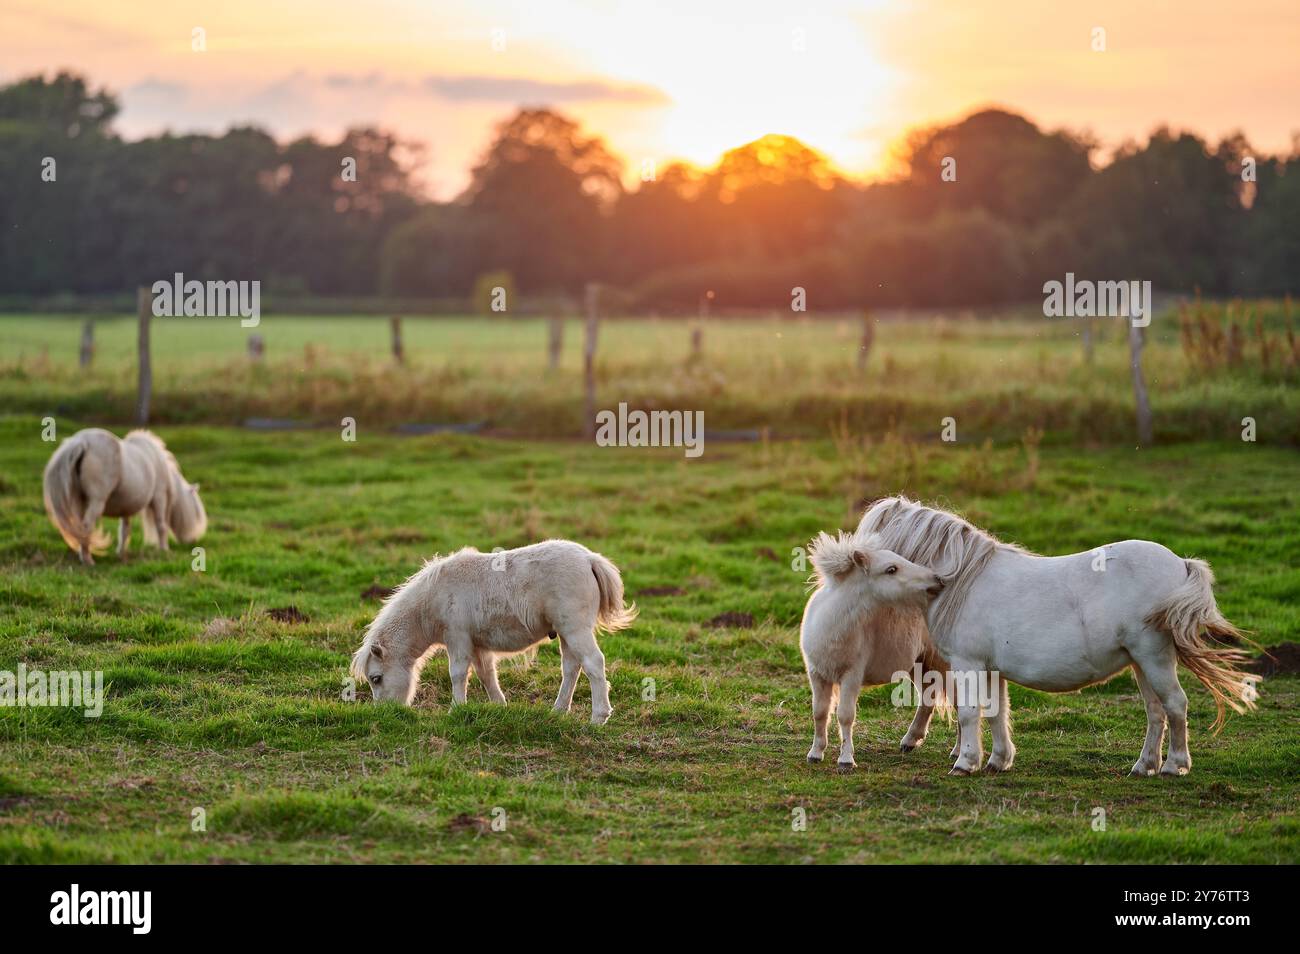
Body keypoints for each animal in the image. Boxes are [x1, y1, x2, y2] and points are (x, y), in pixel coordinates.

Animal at [43, 428, 208, 566]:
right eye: (196, 513)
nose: (193, 540)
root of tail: (81, 442)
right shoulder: (159, 497)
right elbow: (161, 526)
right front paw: (164, 550)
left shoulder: (126, 509)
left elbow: (124, 530)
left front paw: (121, 553)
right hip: (97, 501)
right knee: (87, 526)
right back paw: (88, 560)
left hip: (79, 501)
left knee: (79, 528)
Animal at [353, 538, 637, 722]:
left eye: (376, 678)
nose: (386, 713)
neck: (432, 599)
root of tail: (590, 559)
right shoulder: (478, 645)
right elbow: (486, 674)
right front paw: (499, 706)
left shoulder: (457, 638)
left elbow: (458, 674)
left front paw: (456, 709)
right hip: (566, 632)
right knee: (571, 668)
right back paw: (558, 711)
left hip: (575, 628)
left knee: (593, 663)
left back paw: (598, 717)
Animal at [800, 535, 946, 774]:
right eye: (891, 569)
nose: (938, 580)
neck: (830, 625)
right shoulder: (817, 674)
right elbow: (819, 712)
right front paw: (815, 753)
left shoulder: (851, 675)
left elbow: (845, 715)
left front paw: (846, 760)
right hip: (920, 664)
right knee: (928, 698)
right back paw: (910, 742)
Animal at [857, 496, 1253, 779]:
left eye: (882, 556)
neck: (963, 581)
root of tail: (1181, 564)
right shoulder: (991, 668)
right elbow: (996, 712)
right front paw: (998, 761)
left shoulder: (968, 664)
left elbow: (970, 713)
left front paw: (965, 763)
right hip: (1141, 662)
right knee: (1156, 712)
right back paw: (1144, 766)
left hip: (1154, 656)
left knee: (1175, 705)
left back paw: (1174, 765)